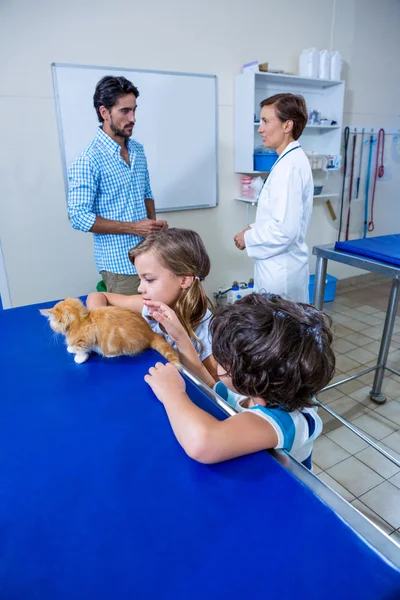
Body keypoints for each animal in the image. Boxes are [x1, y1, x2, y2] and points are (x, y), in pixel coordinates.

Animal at [39, 296, 179, 366]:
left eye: (52, 324)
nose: (52, 327)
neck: (81, 320)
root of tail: (150, 332)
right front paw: (71, 348)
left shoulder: (87, 336)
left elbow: (82, 348)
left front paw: (79, 357)